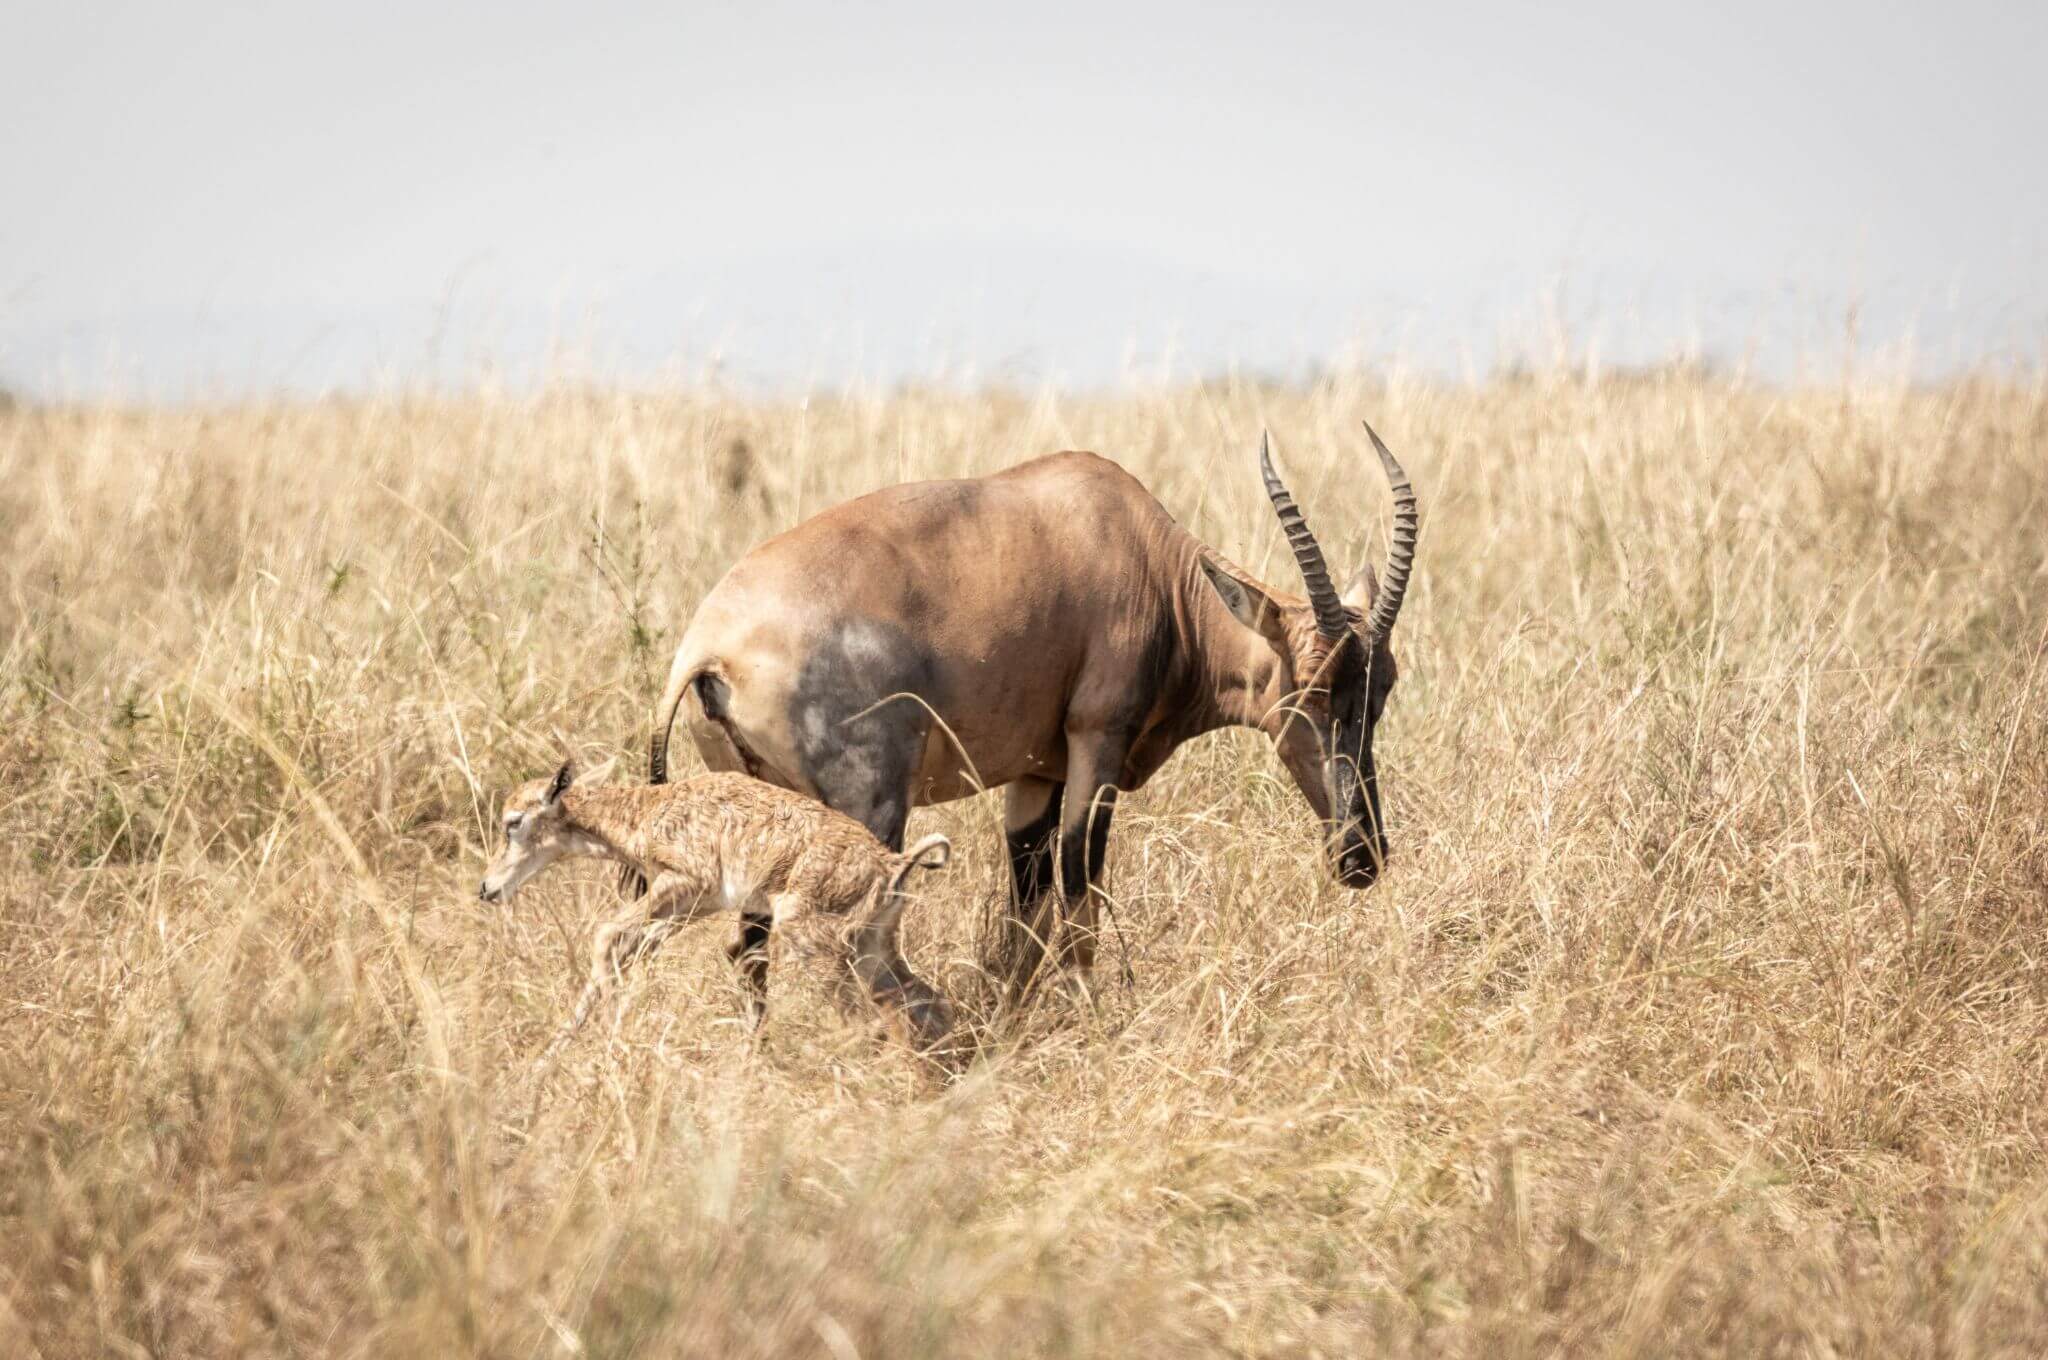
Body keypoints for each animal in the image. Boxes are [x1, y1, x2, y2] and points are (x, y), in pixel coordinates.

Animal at [647, 426, 1417, 999]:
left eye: (1381, 688)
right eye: (1309, 688)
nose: (1361, 856)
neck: (1151, 566)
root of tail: (709, 646)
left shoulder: (1036, 774)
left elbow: (1026, 902)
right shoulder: (1096, 742)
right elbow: (1079, 879)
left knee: (747, 946)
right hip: (869, 805)